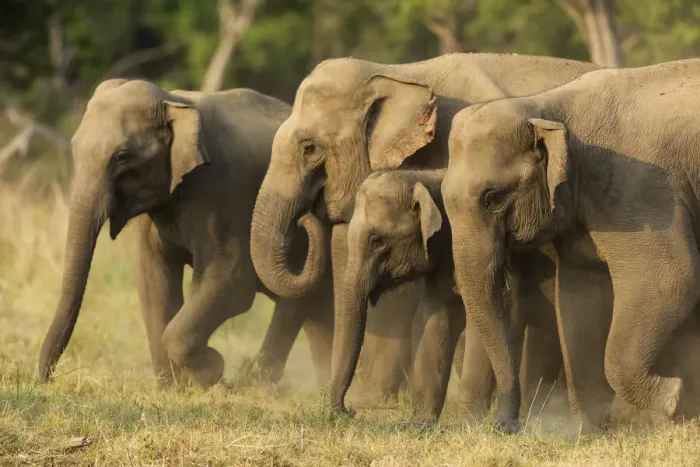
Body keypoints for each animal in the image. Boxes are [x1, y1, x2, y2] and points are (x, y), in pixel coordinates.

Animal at [37, 79, 335, 389]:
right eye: (74, 148)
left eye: (122, 156)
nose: (46, 379)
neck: (173, 101)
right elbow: (154, 281)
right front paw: (173, 388)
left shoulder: (224, 191)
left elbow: (232, 281)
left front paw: (211, 370)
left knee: (296, 305)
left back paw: (261, 384)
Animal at [331, 168, 563, 422]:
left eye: (377, 241)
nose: (349, 411)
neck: (425, 177)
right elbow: (432, 318)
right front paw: (421, 422)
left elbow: (488, 319)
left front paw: (469, 422)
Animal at [442, 58, 700, 433]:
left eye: (494, 198)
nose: (507, 426)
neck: (549, 106)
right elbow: (578, 295)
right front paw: (590, 430)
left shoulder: (643, 190)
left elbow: (670, 281)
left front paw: (671, 400)